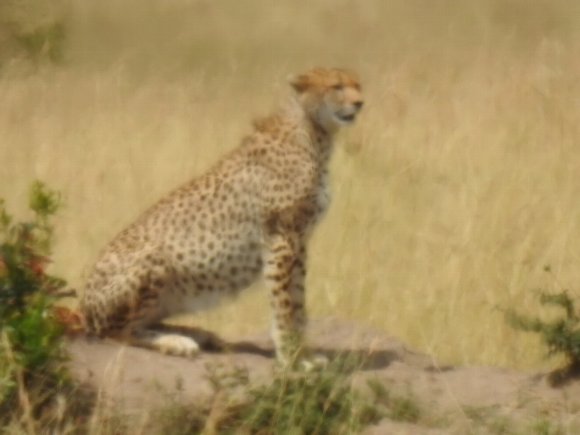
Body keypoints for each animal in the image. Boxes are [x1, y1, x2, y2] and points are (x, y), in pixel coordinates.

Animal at [79, 67, 364, 366]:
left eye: (358, 85)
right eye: (337, 86)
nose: (360, 103)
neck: (314, 130)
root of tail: (83, 306)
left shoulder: (298, 243)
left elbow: (298, 304)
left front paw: (304, 353)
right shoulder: (281, 239)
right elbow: (284, 305)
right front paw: (290, 357)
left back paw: (197, 334)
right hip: (153, 260)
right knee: (115, 332)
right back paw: (175, 342)